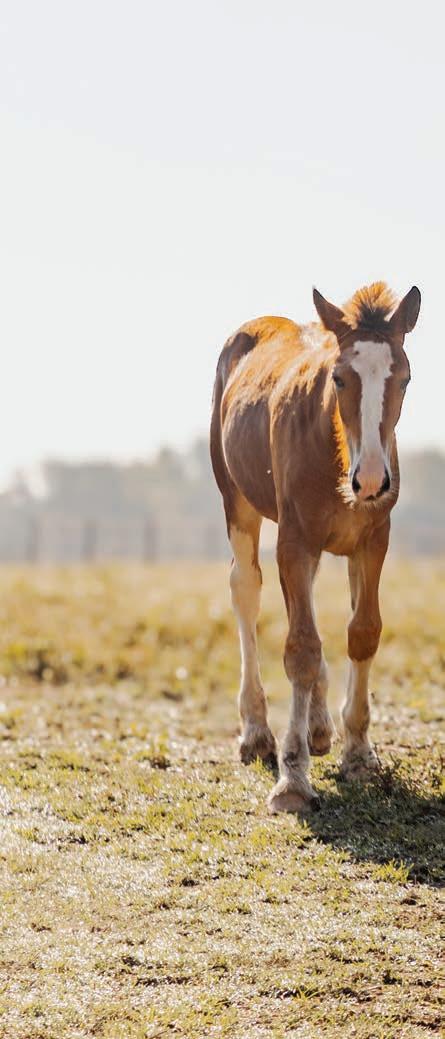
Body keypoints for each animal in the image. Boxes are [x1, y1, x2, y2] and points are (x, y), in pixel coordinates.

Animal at [210, 282, 421, 813]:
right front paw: (293, 780)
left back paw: (321, 728)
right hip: (238, 503)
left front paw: (359, 755)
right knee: (246, 591)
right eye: (340, 378)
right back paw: (257, 732)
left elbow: (362, 633)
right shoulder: (294, 540)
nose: (372, 480)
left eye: (405, 379)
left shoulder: (373, 540)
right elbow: (301, 649)